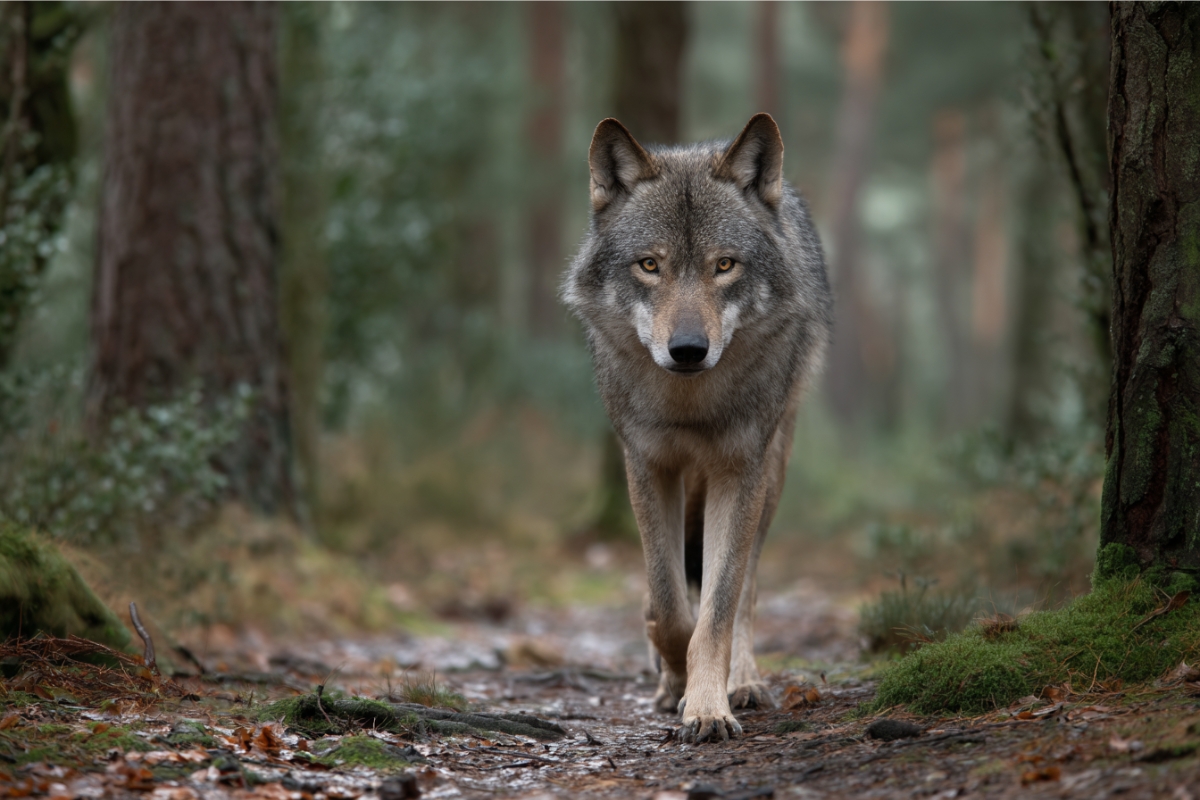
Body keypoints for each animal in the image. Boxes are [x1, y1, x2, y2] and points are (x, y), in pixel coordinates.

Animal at [561, 114, 833, 743]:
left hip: (772, 471)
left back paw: (744, 682)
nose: (688, 349)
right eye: (650, 265)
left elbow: (718, 607)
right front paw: (679, 683)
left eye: (724, 265)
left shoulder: (740, 470)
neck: (691, 404)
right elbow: (669, 606)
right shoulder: (646, 464)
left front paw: (708, 705)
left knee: (747, 589)